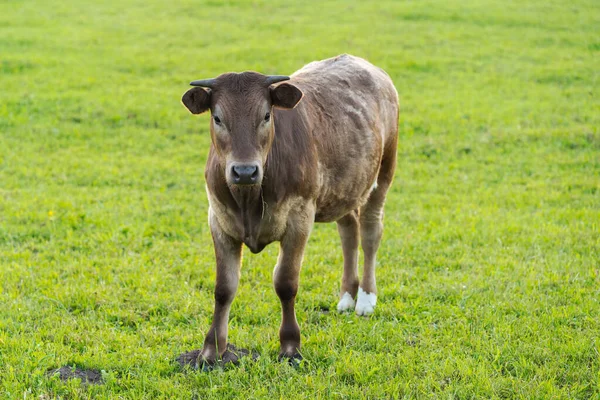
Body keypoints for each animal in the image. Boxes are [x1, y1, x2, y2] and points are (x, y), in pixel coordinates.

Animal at [182, 54, 398, 364]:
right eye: (217, 118)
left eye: (266, 116)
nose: (244, 171)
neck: (249, 199)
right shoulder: (218, 219)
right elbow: (224, 288)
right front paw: (210, 351)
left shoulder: (300, 217)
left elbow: (285, 282)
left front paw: (290, 347)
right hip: (345, 185)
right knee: (349, 231)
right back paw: (347, 296)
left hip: (384, 171)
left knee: (370, 232)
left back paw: (366, 299)